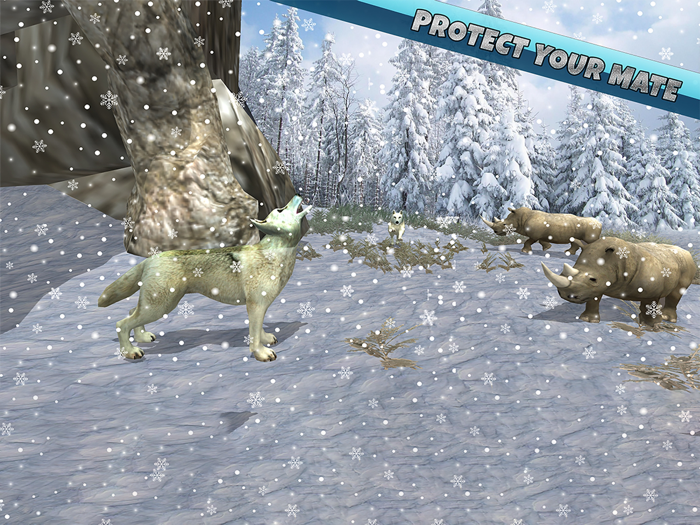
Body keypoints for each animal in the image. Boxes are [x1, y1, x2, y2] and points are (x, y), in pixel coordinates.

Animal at [98, 195, 311, 362]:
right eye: (281, 209)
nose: (298, 194)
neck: (275, 253)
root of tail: (151, 257)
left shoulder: (260, 306)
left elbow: (259, 331)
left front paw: (266, 339)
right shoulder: (255, 306)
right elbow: (254, 335)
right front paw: (261, 353)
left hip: (156, 304)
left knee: (131, 311)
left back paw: (142, 337)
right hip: (160, 306)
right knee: (121, 324)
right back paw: (130, 352)